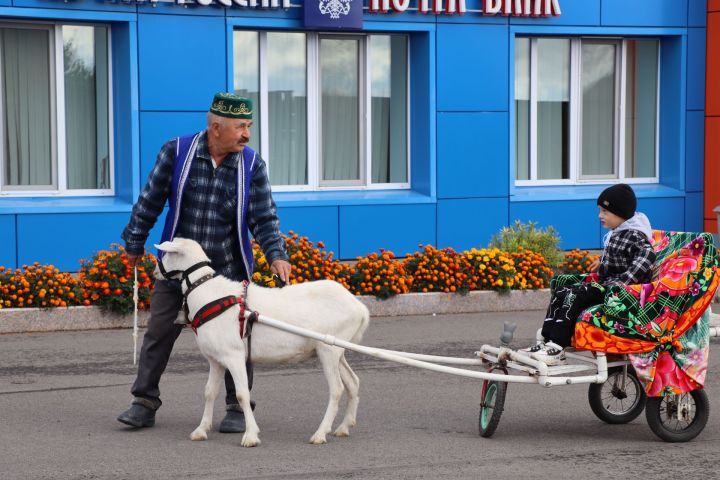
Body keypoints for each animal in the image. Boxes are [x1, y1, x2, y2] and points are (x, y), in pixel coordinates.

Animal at [154, 238, 368, 448]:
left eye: (167, 254)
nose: (156, 272)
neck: (209, 294)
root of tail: (359, 308)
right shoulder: (215, 359)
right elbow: (209, 392)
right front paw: (200, 430)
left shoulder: (234, 355)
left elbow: (242, 394)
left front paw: (250, 436)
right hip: (338, 350)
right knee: (353, 382)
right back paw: (344, 427)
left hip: (328, 348)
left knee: (337, 389)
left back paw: (320, 433)